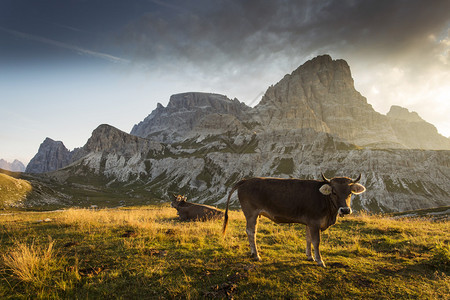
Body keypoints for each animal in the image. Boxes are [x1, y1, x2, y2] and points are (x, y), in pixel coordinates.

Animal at [221, 173, 366, 268]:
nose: (345, 210)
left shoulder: (309, 222)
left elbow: (308, 239)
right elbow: (316, 241)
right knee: (251, 231)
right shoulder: (315, 222)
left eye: (350, 193)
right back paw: (256, 255)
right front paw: (320, 261)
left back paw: (253, 253)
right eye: (334, 192)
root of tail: (246, 180)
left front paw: (310, 256)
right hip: (251, 213)